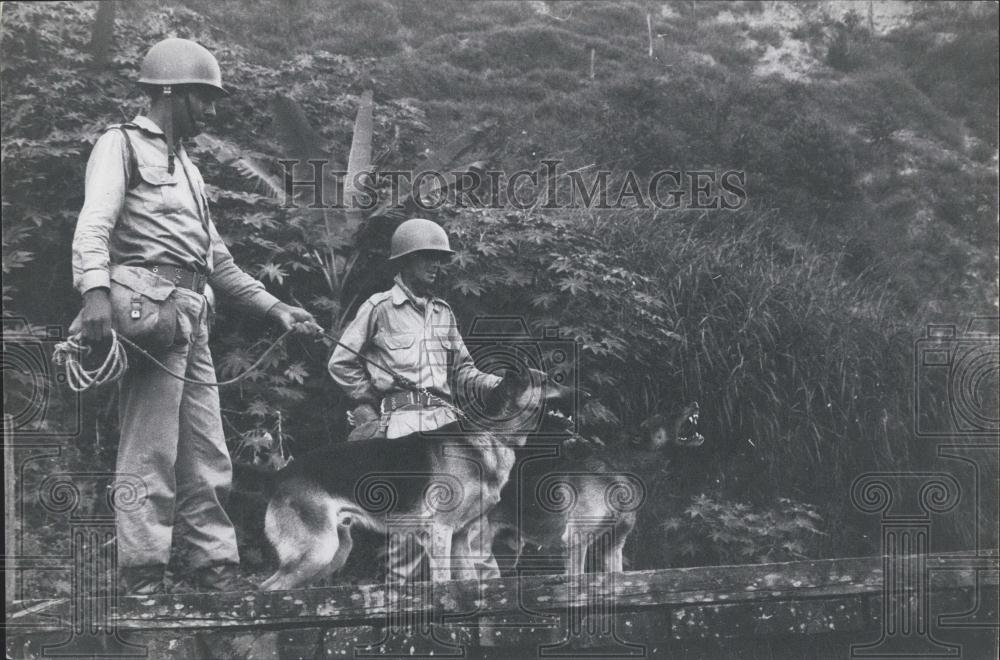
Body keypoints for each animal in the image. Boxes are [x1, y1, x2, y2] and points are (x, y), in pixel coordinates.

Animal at [254, 368, 576, 592]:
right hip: (319, 550)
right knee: (267, 588)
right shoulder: (441, 531)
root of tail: (280, 475)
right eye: (548, 381)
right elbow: (444, 579)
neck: (489, 433)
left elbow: (469, 578)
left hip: (335, 551)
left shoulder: (461, 536)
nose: (582, 395)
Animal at [484, 400, 704, 576]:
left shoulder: (613, 547)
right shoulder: (577, 540)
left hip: (506, 557)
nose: (695, 403)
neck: (620, 469)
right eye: (668, 414)